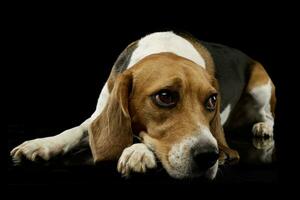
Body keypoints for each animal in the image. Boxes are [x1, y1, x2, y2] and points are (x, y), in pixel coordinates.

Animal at [10, 31, 276, 180]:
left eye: (212, 100)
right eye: (165, 96)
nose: (210, 156)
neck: (167, 48)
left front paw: (137, 151)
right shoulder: (98, 116)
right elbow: (74, 131)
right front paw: (42, 144)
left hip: (261, 86)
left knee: (269, 116)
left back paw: (262, 128)